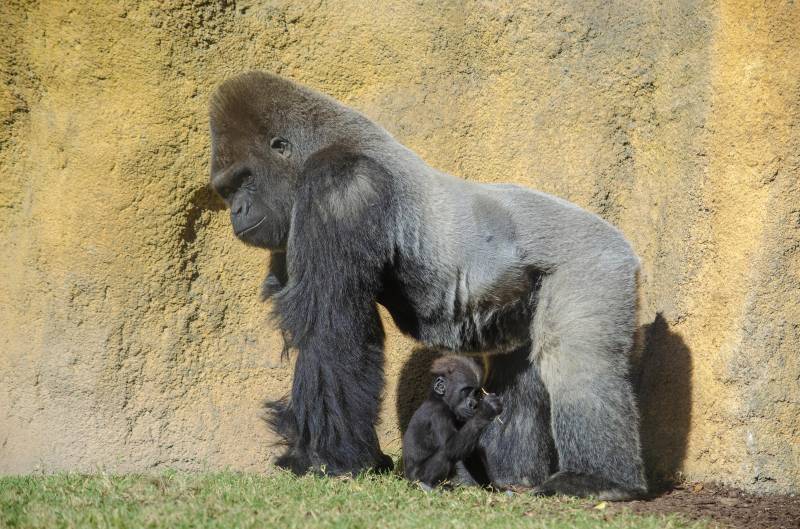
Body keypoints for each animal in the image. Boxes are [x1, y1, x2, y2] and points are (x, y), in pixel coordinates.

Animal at [404, 354, 504, 486]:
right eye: (466, 391)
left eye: (476, 393)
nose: (473, 404)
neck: (439, 400)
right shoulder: (439, 415)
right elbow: (451, 447)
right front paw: (486, 411)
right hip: (416, 479)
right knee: (445, 454)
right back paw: (428, 485)